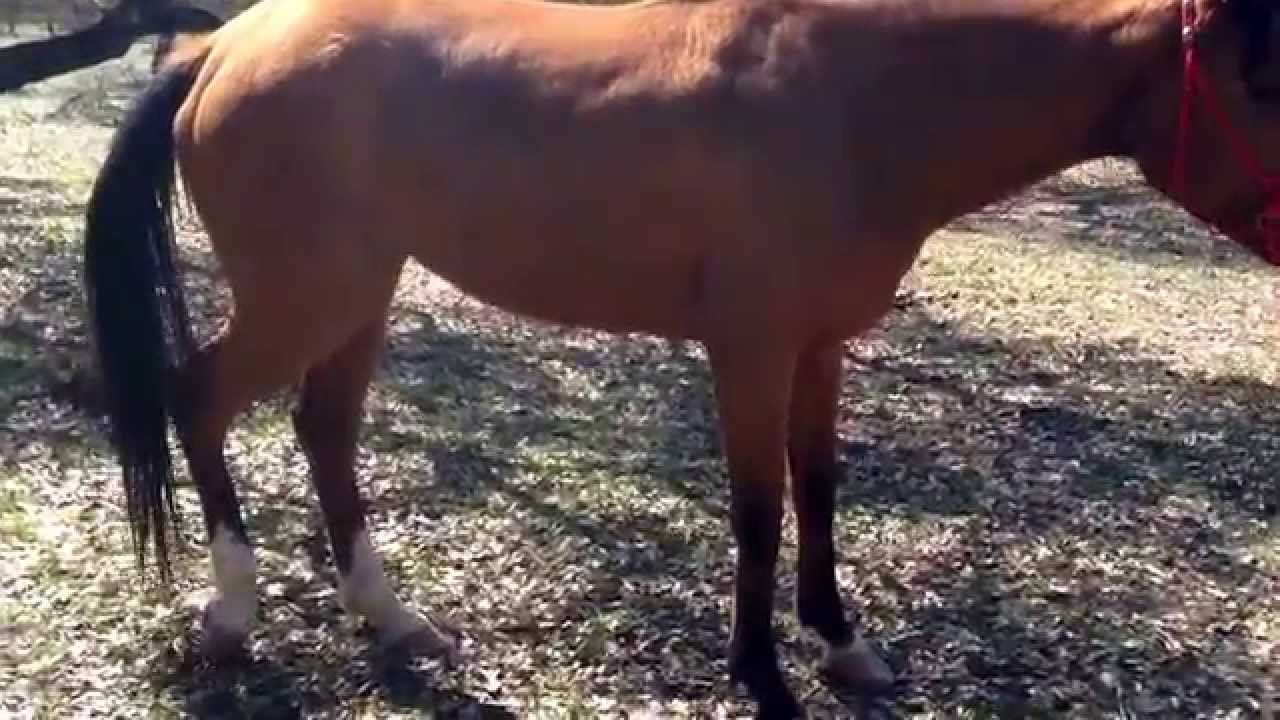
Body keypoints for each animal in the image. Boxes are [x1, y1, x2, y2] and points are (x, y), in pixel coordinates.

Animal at [81, 0, 1280, 716]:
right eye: (1259, 76)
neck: (859, 98)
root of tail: (222, 46)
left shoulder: (817, 348)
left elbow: (818, 490)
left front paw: (842, 645)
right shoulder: (749, 349)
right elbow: (758, 509)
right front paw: (763, 675)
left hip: (358, 299)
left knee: (324, 429)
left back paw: (393, 618)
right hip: (307, 298)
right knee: (199, 401)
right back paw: (234, 616)